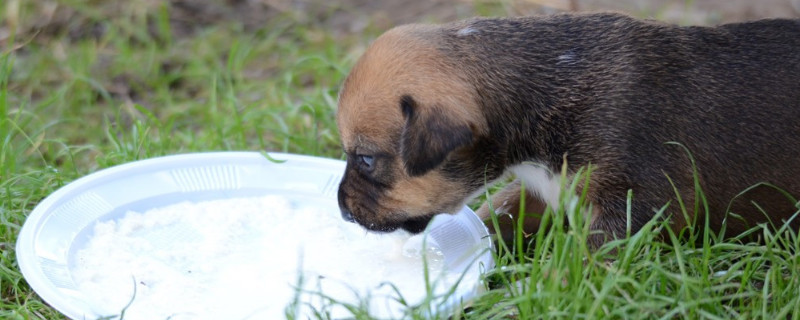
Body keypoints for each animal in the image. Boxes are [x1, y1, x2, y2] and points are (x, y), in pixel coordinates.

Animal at [334, 12, 800, 248]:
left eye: (366, 159)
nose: (340, 209)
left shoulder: (632, 209)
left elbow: (587, 263)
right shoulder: (541, 190)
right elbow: (495, 215)